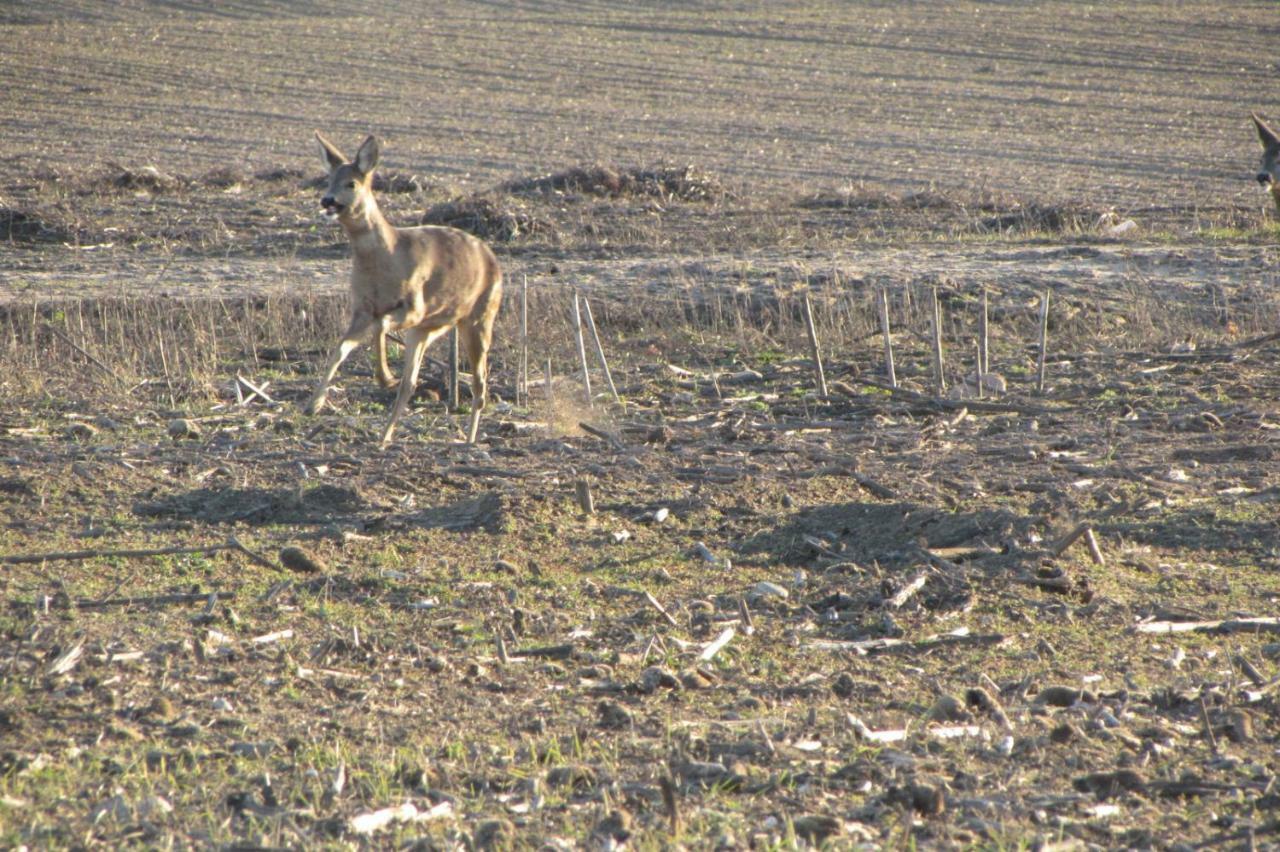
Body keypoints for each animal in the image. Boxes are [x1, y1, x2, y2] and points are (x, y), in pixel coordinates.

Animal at [307, 133, 501, 445]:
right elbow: (340, 348)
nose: (327, 200)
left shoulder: (414, 305)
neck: (388, 257)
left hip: (480, 317)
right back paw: (385, 437)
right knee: (411, 383)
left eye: (352, 183)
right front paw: (314, 404)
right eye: (329, 179)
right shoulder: (361, 309)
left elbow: (381, 326)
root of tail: (492, 258)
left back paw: (469, 440)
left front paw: (384, 376)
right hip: (430, 327)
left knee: (480, 383)